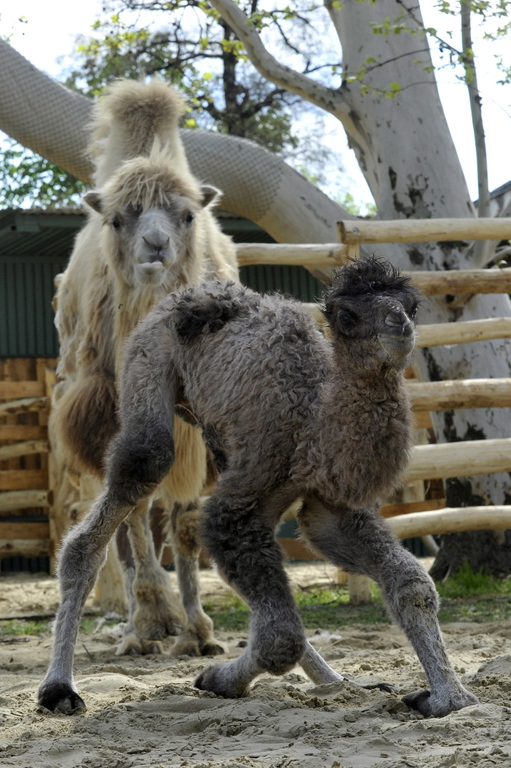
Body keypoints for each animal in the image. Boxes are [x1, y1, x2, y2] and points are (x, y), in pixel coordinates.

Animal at [38, 260, 478, 720]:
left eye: (411, 305)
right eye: (347, 316)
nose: (400, 325)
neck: (313, 424)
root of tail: (183, 297)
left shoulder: (331, 509)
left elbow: (412, 585)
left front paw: (447, 698)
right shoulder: (240, 504)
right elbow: (280, 637)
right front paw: (214, 679)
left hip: (214, 433)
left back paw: (339, 682)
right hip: (148, 360)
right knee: (134, 473)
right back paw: (59, 689)